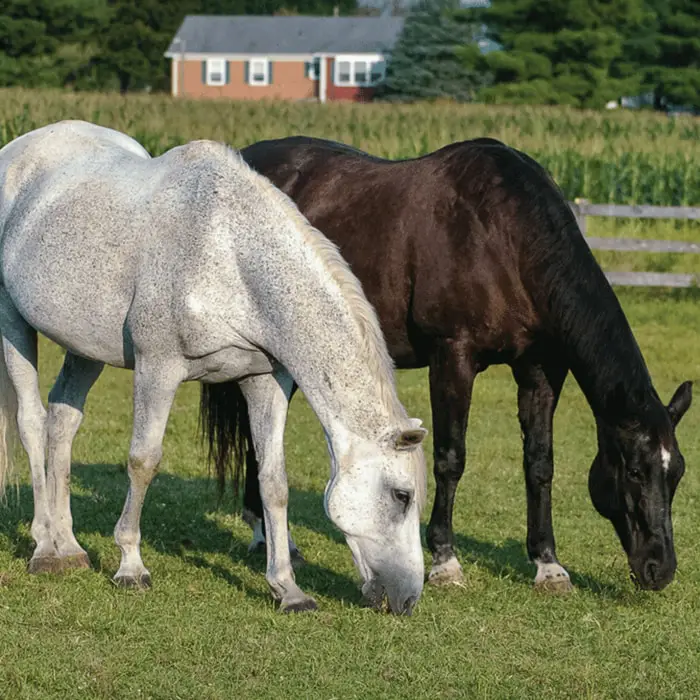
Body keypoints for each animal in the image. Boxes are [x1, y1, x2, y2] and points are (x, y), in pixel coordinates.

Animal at [0, 123, 426, 616]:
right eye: (402, 495)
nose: (407, 599)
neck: (229, 255)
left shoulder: (264, 380)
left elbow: (272, 481)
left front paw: (288, 588)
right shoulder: (158, 368)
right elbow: (143, 461)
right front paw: (130, 566)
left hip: (84, 346)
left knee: (63, 420)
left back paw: (69, 545)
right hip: (13, 323)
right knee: (32, 423)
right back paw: (44, 547)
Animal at [200, 135, 692, 592]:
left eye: (678, 473)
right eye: (635, 470)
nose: (660, 569)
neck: (505, 237)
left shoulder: (540, 371)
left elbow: (539, 464)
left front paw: (548, 565)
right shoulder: (453, 357)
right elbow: (450, 458)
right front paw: (444, 560)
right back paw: (266, 536)